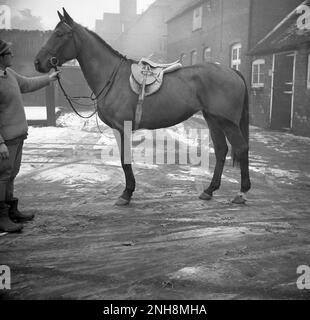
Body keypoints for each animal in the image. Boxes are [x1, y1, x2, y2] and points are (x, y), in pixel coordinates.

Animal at [34, 9, 252, 208]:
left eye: (59, 34)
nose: (37, 62)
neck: (113, 77)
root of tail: (232, 71)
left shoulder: (121, 127)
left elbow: (125, 160)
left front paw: (126, 193)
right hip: (213, 118)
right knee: (222, 149)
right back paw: (209, 190)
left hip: (227, 122)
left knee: (241, 148)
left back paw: (241, 193)